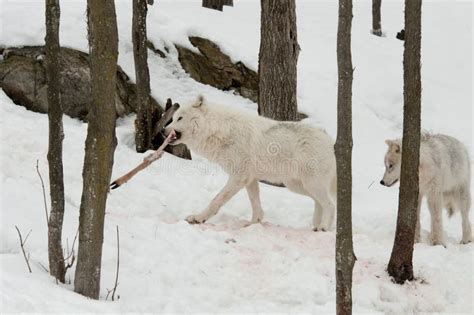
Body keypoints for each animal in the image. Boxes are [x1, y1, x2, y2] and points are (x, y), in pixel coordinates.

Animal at [163, 95, 336, 231]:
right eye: (173, 118)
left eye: (180, 118)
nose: (163, 131)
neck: (220, 131)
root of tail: (327, 137)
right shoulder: (250, 179)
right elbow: (255, 205)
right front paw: (253, 224)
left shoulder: (238, 177)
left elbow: (216, 200)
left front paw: (198, 218)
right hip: (297, 186)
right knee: (319, 202)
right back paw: (316, 226)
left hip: (310, 184)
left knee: (330, 204)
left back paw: (323, 227)